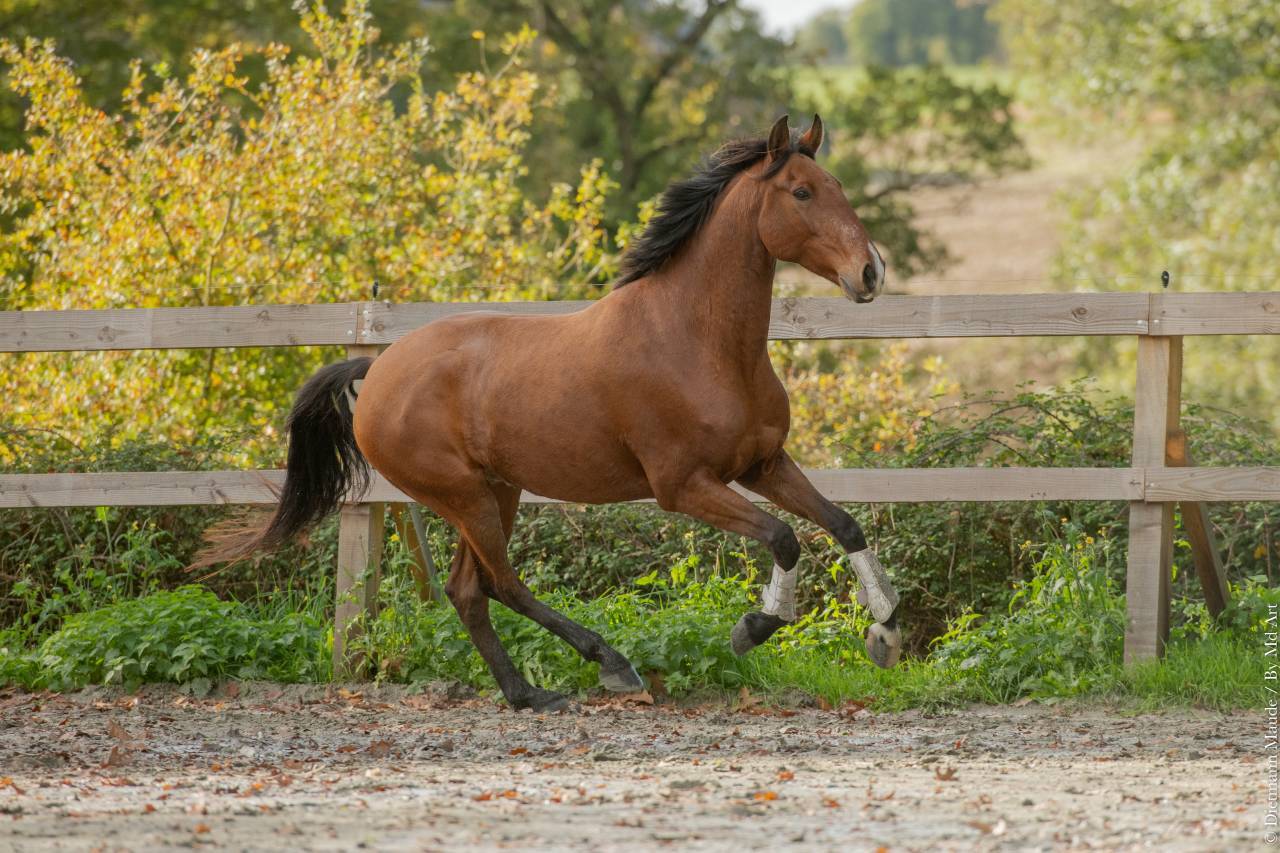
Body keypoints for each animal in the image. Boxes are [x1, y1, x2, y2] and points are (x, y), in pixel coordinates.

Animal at [197, 114, 902, 712]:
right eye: (801, 192)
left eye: (836, 187)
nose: (870, 273)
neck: (696, 339)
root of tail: (376, 372)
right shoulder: (683, 486)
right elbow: (784, 537)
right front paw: (754, 628)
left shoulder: (763, 463)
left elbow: (843, 525)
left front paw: (886, 633)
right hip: (463, 495)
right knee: (501, 585)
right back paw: (608, 665)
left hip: (496, 491)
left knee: (468, 590)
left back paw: (527, 694)